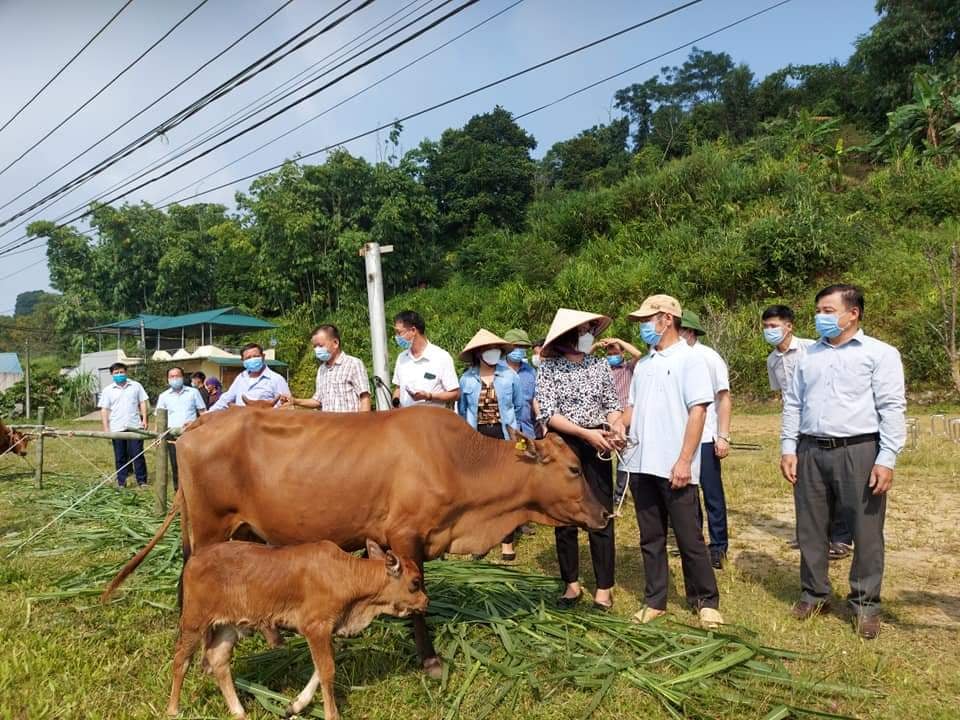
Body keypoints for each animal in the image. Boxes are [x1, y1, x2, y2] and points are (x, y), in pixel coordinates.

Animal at [103, 404, 608, 676]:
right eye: (574, 468)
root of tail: (195, 426)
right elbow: (418, 600)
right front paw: (430, 660)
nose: (605, 514)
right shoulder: (406, 536)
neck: (459, 462)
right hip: (210, 528)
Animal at [168, 540, 428, 720]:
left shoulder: (327, 630)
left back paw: (238, 711)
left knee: (218, 659)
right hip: (194, 620)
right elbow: (327, 670)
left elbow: (322, 668)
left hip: (228, 625)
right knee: (181, 660)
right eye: (415, 583)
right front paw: (332, 714)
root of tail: (194, 559)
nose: (426, 602)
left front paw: (294, 706)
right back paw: (173, 709)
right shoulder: (315, 627)